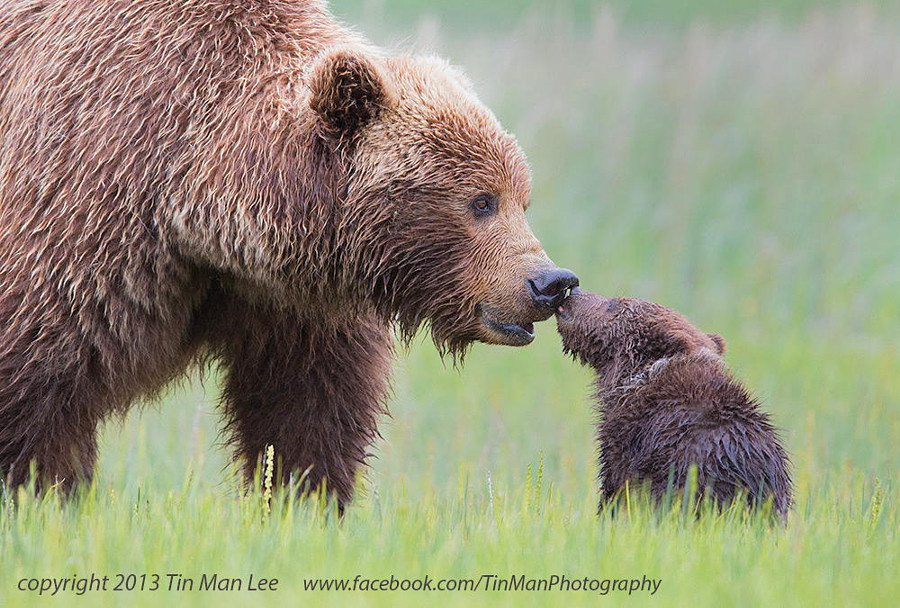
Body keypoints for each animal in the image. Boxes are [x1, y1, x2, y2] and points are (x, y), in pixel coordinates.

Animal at [0, 0, 576, 506]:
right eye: (481, 201)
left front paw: (303, 502)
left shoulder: (293, 301)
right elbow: (37, 384)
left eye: (521, 198)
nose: (551, 282)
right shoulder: (85, 213)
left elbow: (307, 408)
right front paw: (42, 495)